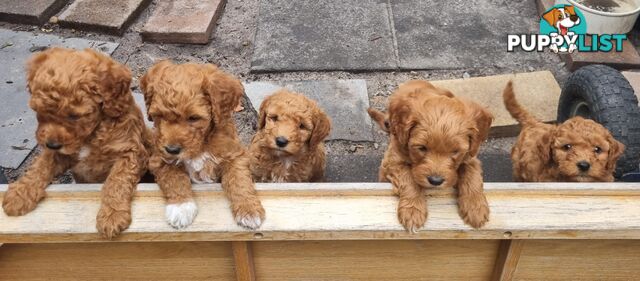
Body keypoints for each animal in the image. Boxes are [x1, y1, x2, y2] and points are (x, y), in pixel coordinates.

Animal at [1, 47, 149, 237]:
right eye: (38, 110)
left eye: (74, 116)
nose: (52, 144)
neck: (90, 135)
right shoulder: (59, 153)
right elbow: (41, 166)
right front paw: (19, 194)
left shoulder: (131, 151)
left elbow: (117, 180)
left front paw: (112, 215)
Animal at [141, 60, 264, 229]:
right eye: (159, 115)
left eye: (193, 118)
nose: (172, 149)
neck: (201, 145)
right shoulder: (159, 159)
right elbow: (174, 178)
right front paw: (181, 207)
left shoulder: (235, 154)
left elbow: (239, 179)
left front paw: (249, 209)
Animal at [368, 79, 492, 232]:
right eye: (422, 148)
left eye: (455, 151)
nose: (435, 181)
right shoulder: (392, 161)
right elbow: (407, 177)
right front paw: (413, 210)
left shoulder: (471, 156)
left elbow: (472, 174)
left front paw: (476, 207)